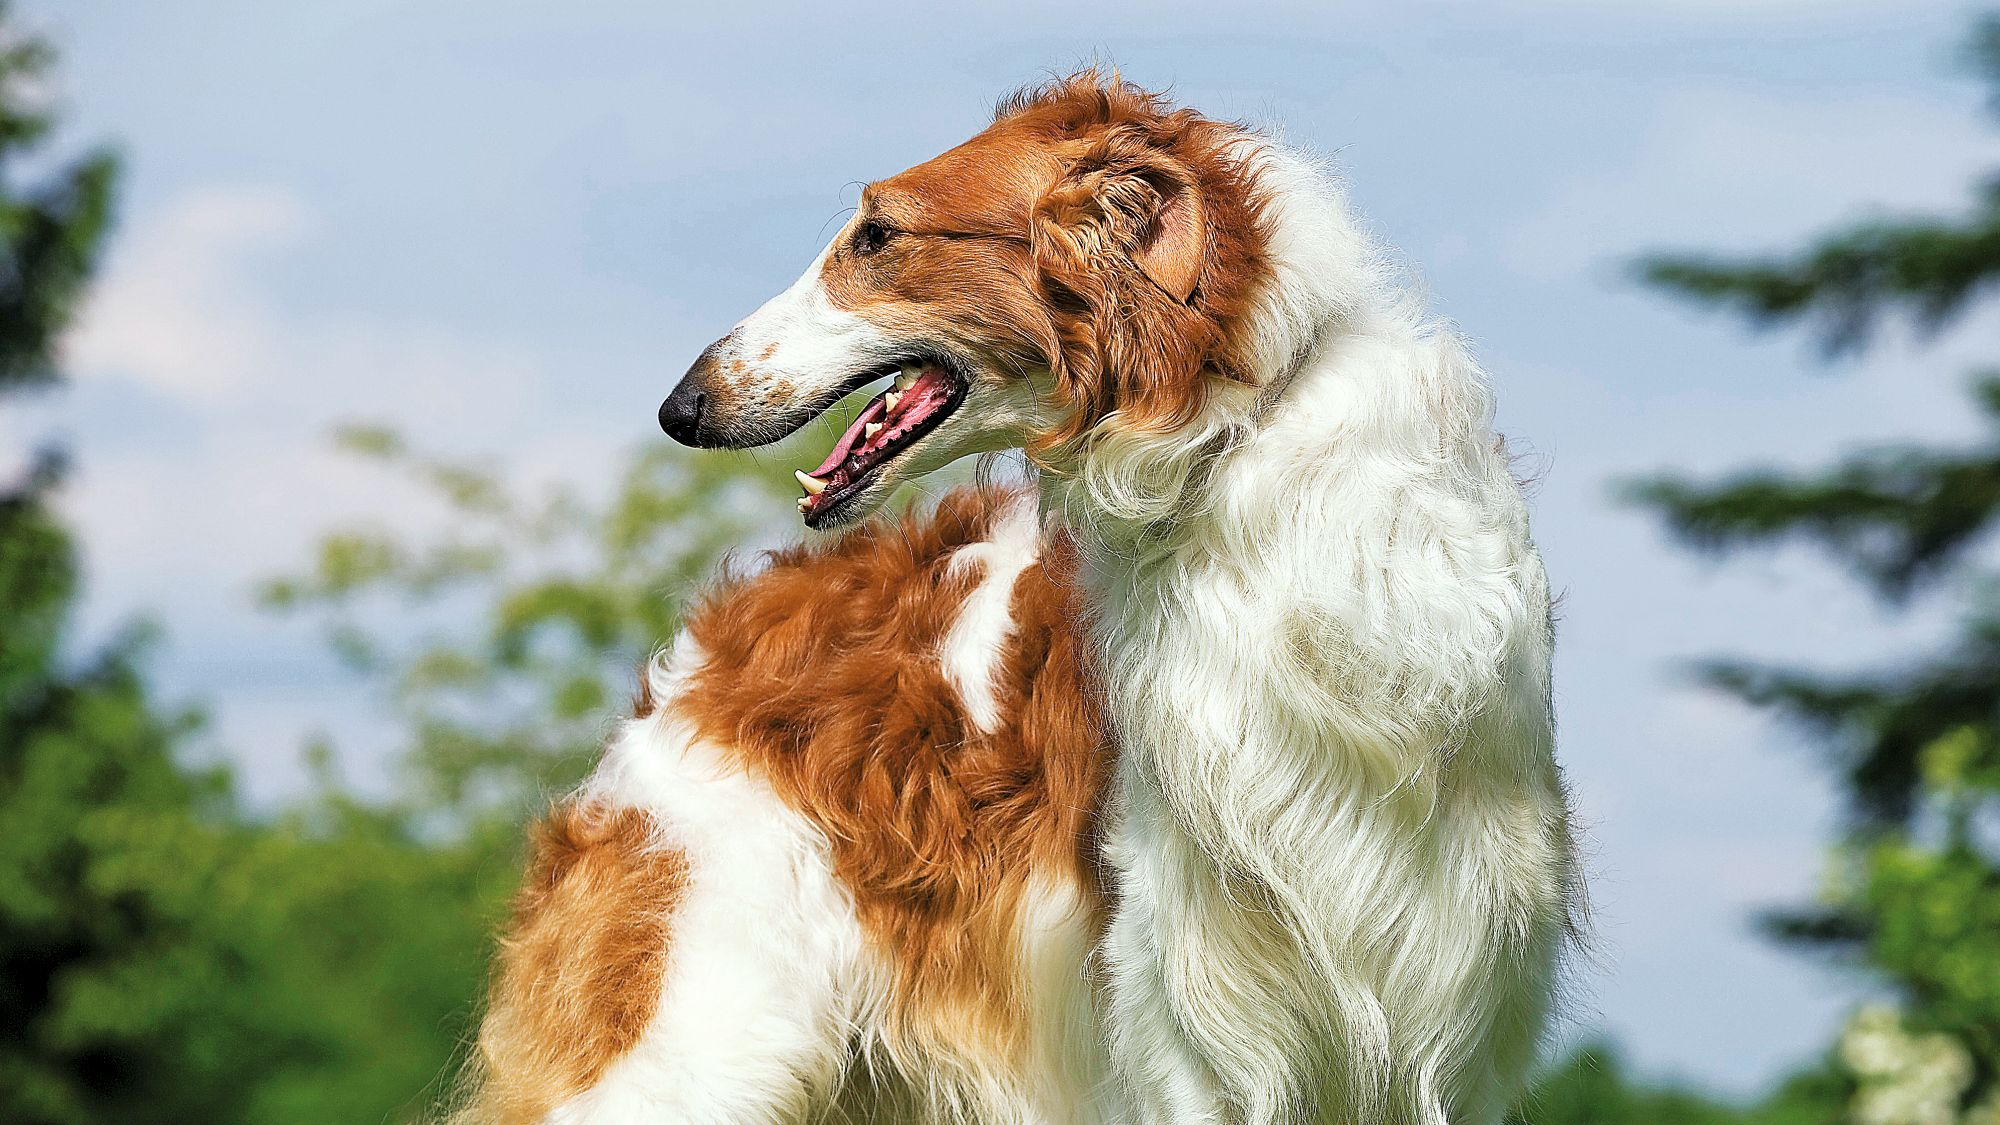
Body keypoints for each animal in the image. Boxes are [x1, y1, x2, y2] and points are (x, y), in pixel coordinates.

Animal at [454, 72, 1576, 1120]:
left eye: (876, 234)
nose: (680, 407)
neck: (1240, 441)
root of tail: (700, 653)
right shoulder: (1184, 1016)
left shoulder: (1452, 1010)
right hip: (692, 1033)